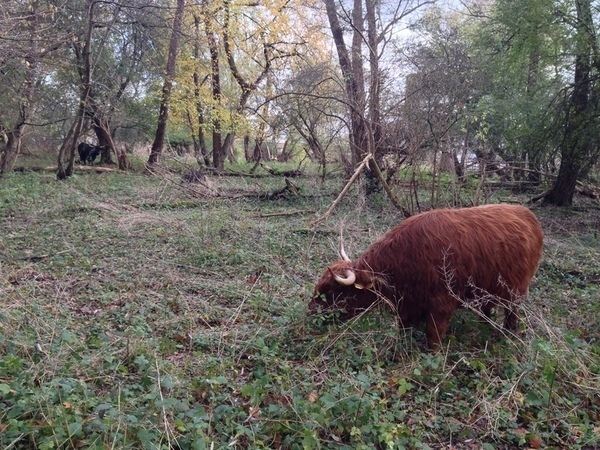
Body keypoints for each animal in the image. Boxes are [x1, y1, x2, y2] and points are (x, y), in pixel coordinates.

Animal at [310, 204, 544, 348]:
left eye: (332, 293)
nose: (311, 313)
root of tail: (526, 212)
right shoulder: (407, 306)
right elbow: (403, 330)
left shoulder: (441, 305)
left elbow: (433, 338)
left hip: (516, 289)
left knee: (512, 312)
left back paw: (507, 333)